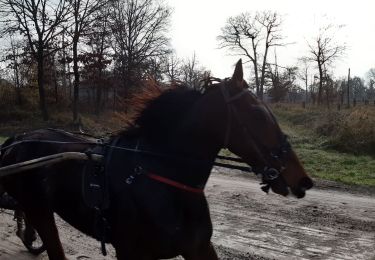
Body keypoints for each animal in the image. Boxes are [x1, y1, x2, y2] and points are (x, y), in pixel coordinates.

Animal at [0, 60, 314, 258]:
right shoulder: (131, 251)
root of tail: (18, 139)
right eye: (258, 114)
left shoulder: (199, 247)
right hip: (40, 210)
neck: (158, 177)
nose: (303, 180)